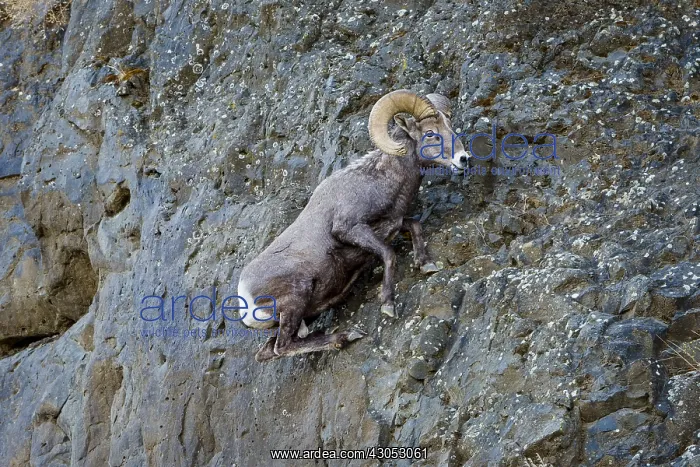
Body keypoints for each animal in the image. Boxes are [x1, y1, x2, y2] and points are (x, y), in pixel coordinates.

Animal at [237, 90, 469, 362]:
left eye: (450, 126)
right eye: (431, 133)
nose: (464, 159)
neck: (379, 180)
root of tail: (244, 296)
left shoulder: (393, 223)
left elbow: (414, 226)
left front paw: (426, 264)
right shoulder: (349, 229)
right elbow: (389, 254)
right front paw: (388, 305)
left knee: (268, 351)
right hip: (295, 300)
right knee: (282, 347)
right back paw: (346, 336)